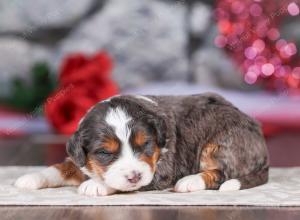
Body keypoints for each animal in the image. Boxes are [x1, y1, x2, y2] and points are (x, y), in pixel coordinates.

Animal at [15, 93, 270, 196]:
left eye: (145, 145)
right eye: (105, 153)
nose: (134, 176)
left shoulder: (162, 170)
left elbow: (122, 185)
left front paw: (96, 186)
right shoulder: (80, 159)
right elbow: (61, 167)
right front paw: (28, 179)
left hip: (220, 143)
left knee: (221, 173)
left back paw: (189, 182)